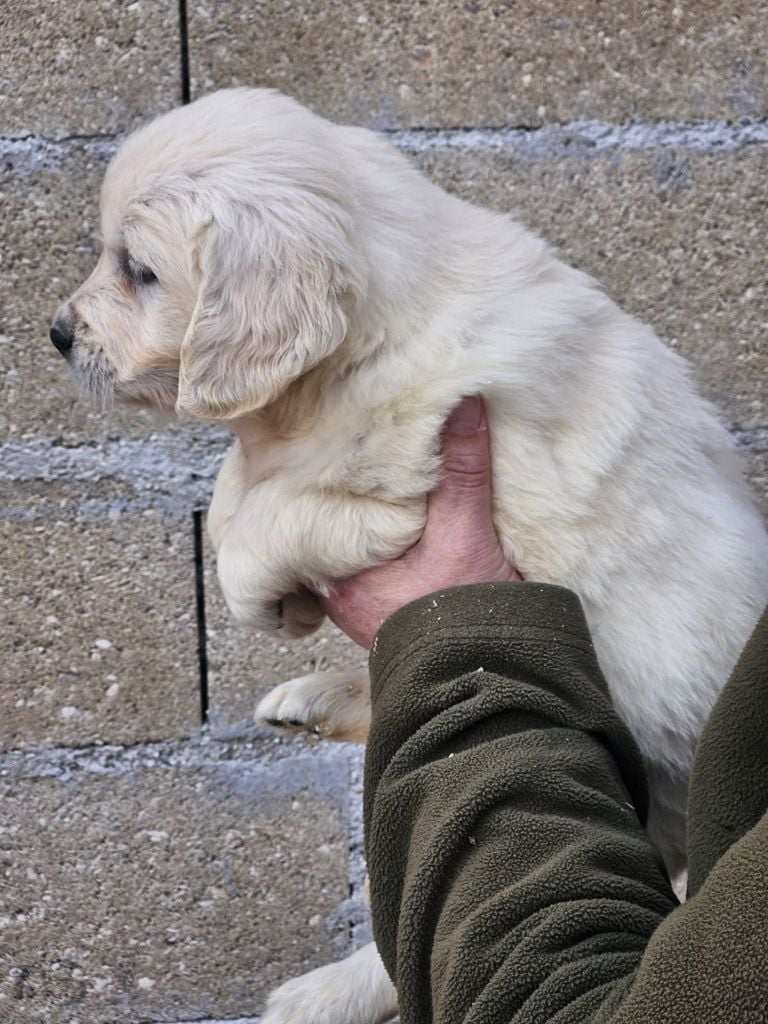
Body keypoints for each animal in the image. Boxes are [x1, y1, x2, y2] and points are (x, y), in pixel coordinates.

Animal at [51, 90, 768, 1024]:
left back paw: (320, 993)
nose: (56, 333)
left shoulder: (404, 485)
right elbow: (239, 483)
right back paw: (318, 701)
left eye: (139, 270)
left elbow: (269, 514)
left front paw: (257, 590)